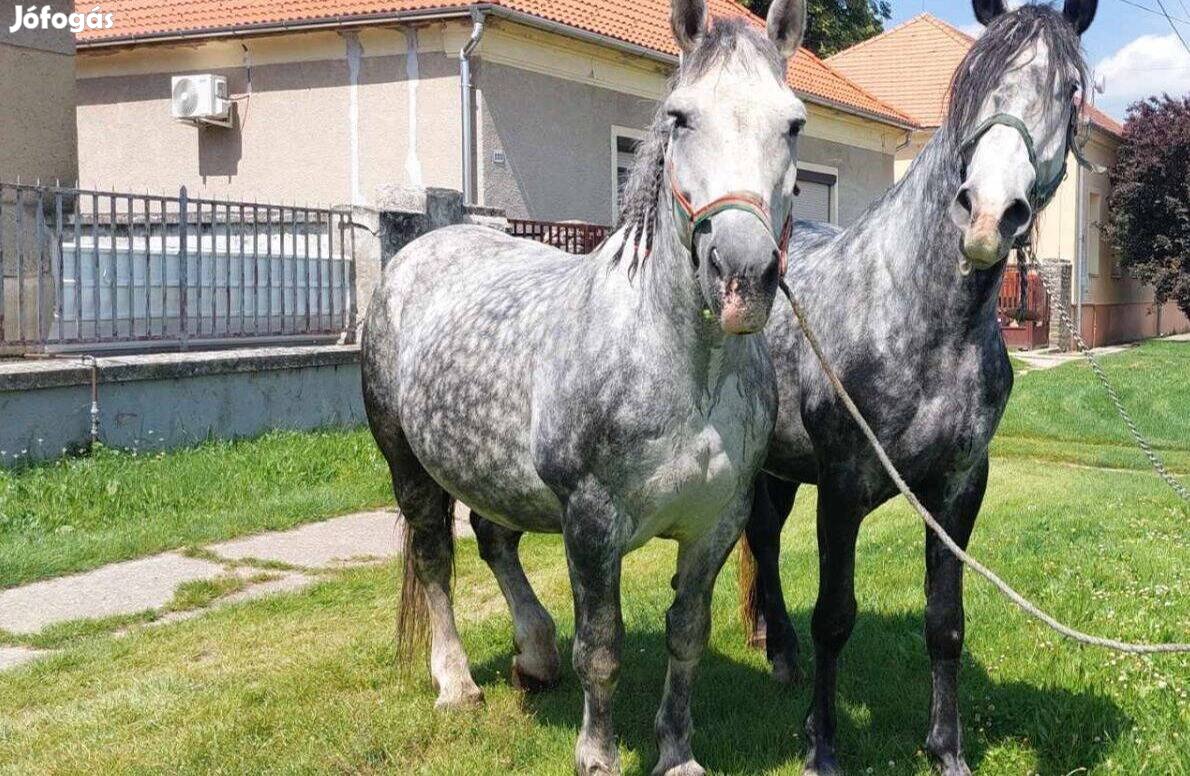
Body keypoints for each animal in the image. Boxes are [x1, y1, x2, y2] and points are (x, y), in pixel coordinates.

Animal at [361, 3, 809, 771]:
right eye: (680, 117)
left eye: (794, 124)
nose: (742, 276)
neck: (683, 370)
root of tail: (419, 249)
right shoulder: (592, 524)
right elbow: (601, 648)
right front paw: (597, 755)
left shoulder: (717, 521)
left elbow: (686, 635)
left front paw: (677, 752)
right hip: (408, 465)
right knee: (435, 558)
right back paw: (456, 683)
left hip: (493, 471)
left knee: (494, 541)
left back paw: (535, 656)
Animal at [728, 3, 1099, 771]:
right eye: (974, 78)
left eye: (1071, 91)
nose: (988, 215)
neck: (922, 321)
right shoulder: (842, 486)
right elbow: (835, 616)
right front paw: (821, 746)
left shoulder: (959, 488)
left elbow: (945, 622)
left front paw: (946, 748)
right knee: (766, 541)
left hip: (780, 467)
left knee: (766, 540)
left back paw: (777, 650)